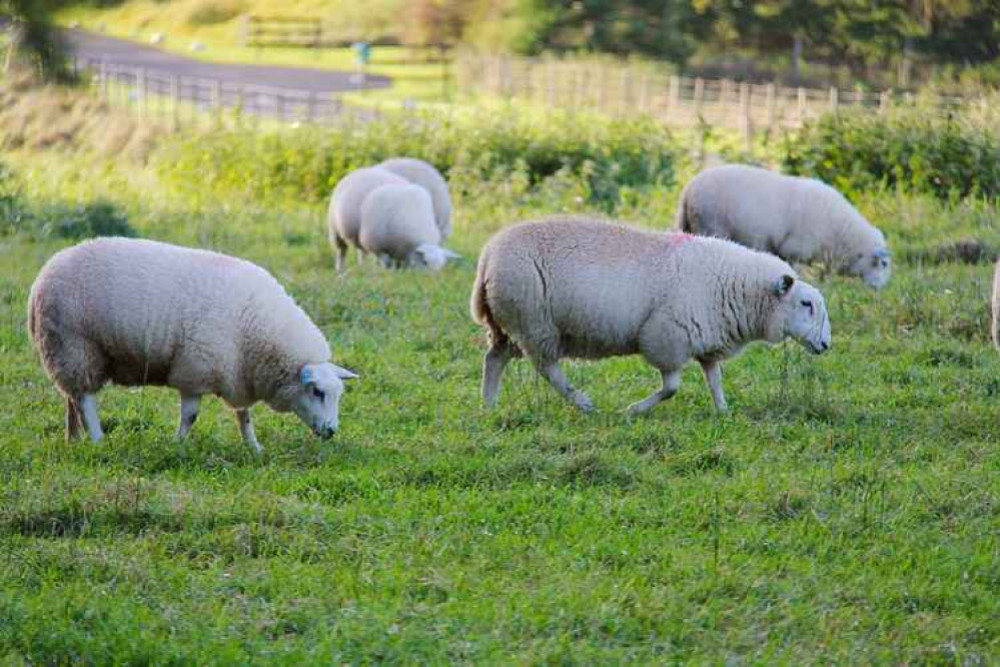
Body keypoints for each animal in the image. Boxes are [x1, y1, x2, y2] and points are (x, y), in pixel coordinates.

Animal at [27, 237, 360, 452]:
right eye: (317, 392)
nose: (332, 432)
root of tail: (43, 276)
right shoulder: (194, 369)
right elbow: (191, 416)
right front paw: (177, 445)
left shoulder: (236, 372)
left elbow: (243, 415)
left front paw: (254, 447)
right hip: (75, 345)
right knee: (85, 400)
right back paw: (96, 440)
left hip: (67, 353)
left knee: (71, 397)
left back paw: (73, 438)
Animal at [472, 217, 832, 414]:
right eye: (806, 304)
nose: (826, 345)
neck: (736, 287)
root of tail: (488, 254)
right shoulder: (666, 338)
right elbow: (671, 388)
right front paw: (633, 410)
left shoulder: (706, 342)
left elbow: (715, 380)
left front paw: (723, 411)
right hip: (536, 323)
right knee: (548, 370)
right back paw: (582, 402)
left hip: (510, 324)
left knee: (494, 359)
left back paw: (488, 405)